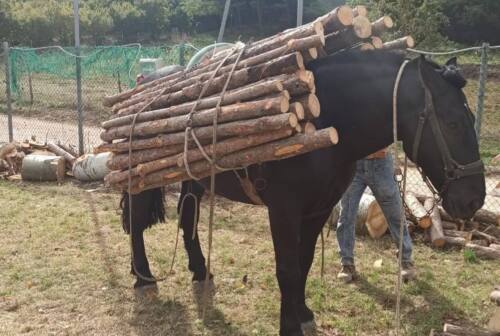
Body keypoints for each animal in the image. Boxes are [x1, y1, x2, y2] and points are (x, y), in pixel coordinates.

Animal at [120, 50, 484, 336]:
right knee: (137, 221)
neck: (325, 120)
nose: (474, 200)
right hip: (142, 178)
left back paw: (199, 269)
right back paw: (143, 277)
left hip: (193, 177)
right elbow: (287, 268)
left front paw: (303, 313)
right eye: (452, 123)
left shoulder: (319, 208)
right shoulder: (283, 210)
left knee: (187, 216)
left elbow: (304, 262)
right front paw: (289, 325)